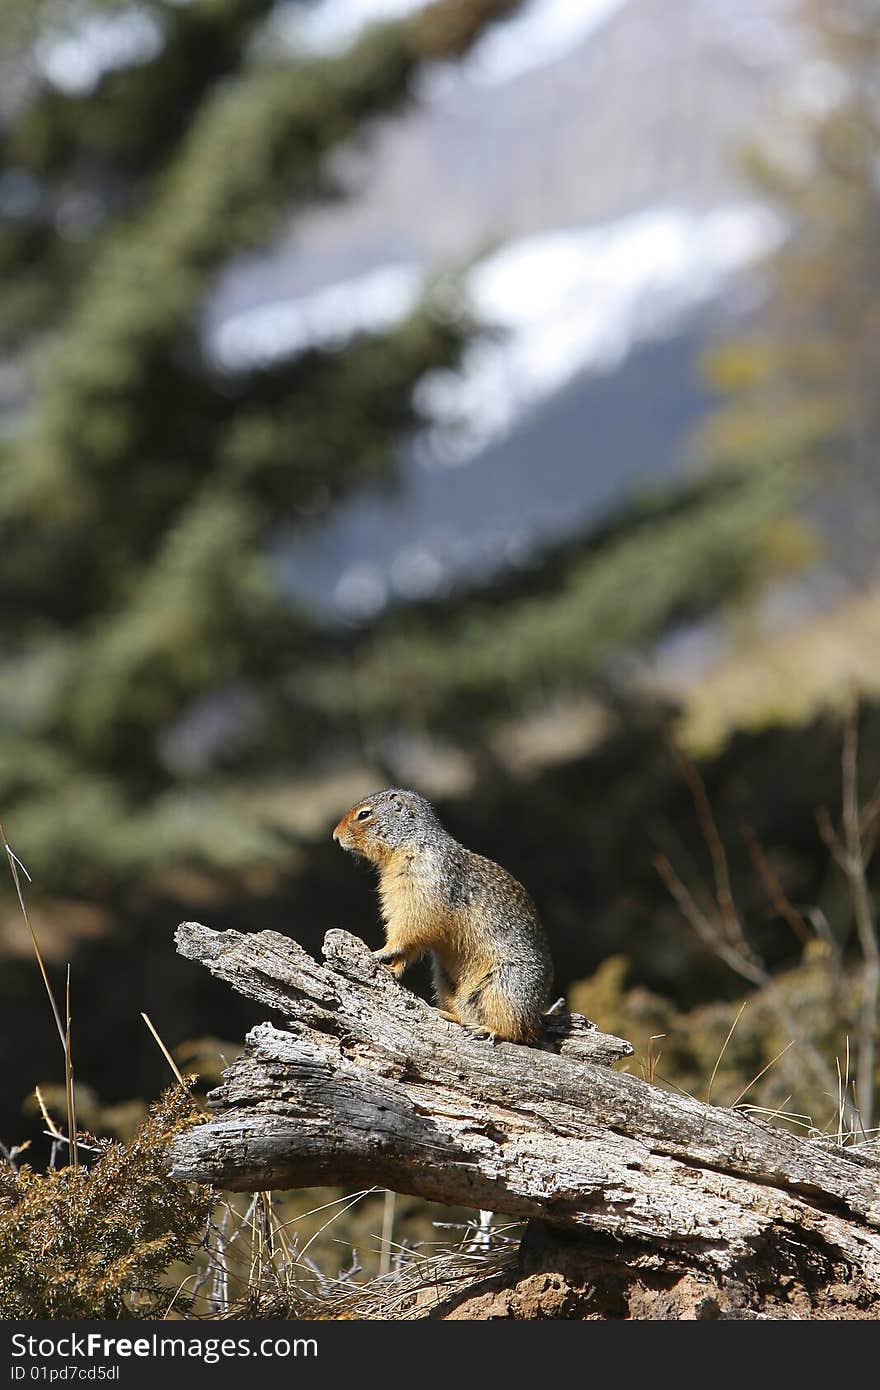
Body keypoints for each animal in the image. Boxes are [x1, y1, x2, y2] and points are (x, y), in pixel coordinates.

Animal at [332, 783, 553, 1045]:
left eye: (364, 814)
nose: (334, 836)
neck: (410, 844)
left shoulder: (422, 887)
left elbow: (411, 927)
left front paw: (381, 951)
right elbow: (411, 942)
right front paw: (394, 967)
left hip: (504, 986)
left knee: (519, 1030)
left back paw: (489, 1029)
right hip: (445, 981)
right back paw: (448, 1014)